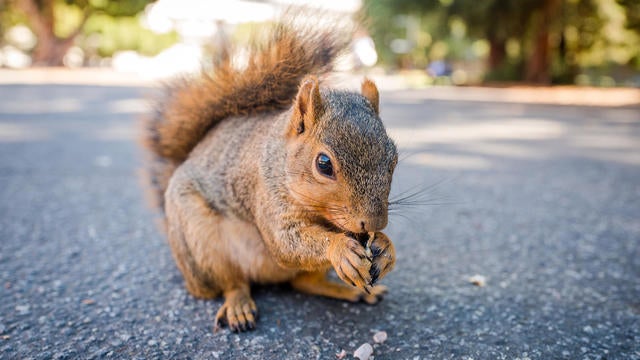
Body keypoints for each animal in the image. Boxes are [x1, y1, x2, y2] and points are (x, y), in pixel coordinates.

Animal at [142, 14, 398, 332]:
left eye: (394, 158)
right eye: (324, 164)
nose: (375, 222)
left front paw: (386, 246)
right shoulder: (266, 194)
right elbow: (284, 241)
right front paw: (341, 248)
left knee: (304, 283)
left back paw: (351, 290)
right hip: (201, 245)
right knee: (232, 283)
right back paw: (239, 305)